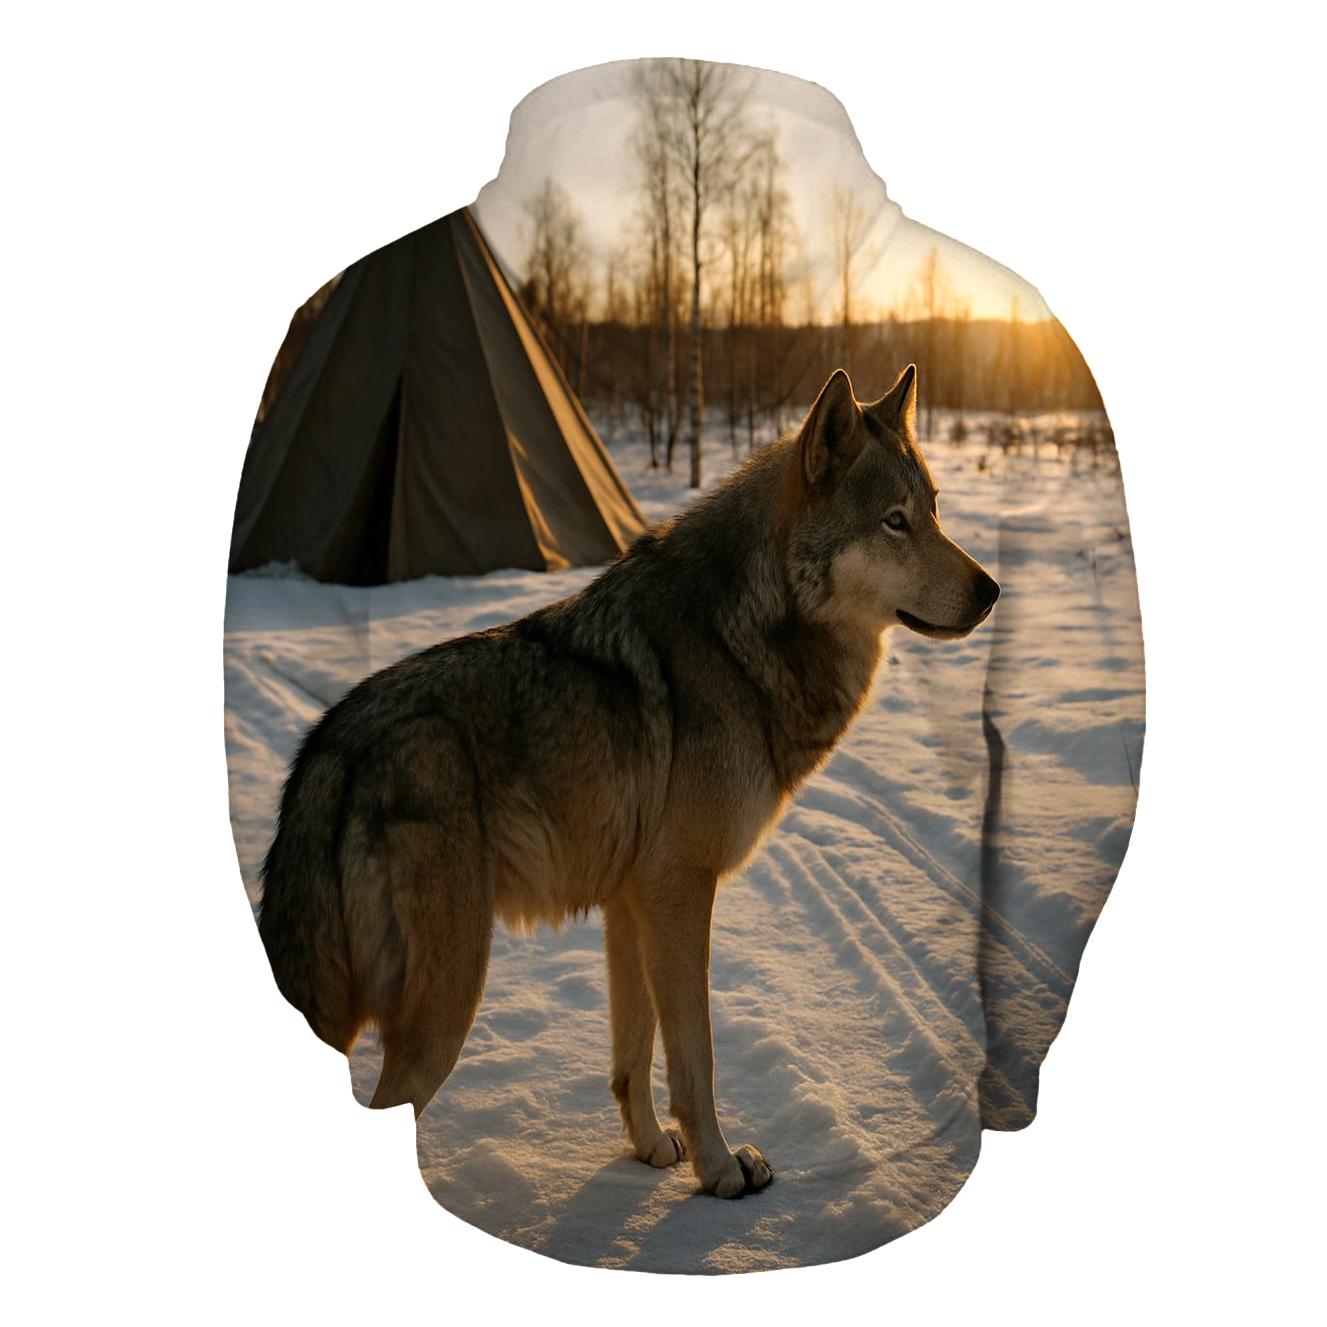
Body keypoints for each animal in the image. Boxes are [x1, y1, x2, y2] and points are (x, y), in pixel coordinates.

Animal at [258, 365, 999, 1198]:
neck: (743, 635)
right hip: (446, 1006)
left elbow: (632, 1052)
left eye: (933, 510)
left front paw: (649, 1148)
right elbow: (694, 1055)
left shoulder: (629, 900)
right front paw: (721, 1169)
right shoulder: (679, 889)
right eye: (893, 522)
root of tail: (327, 751)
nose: (990, 591)